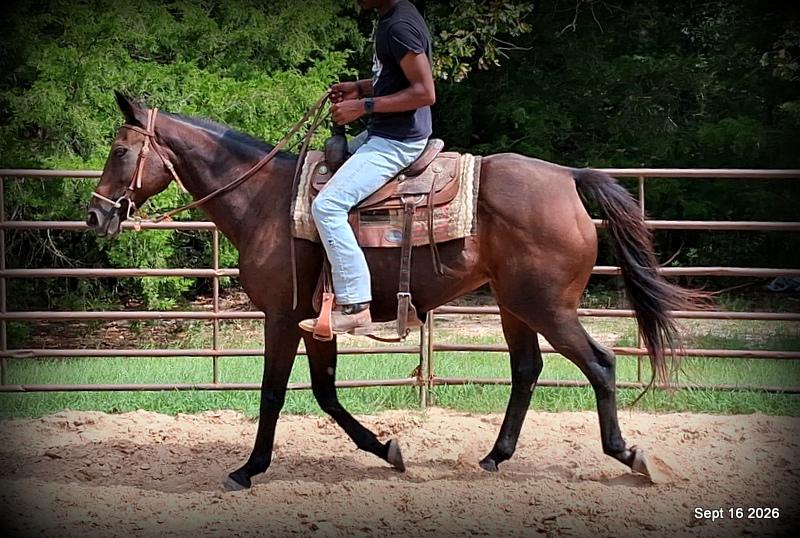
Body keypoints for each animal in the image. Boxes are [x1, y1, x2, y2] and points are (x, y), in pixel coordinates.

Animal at [87, 91, 704, 490]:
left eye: (119, 151)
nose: (96, 216)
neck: (264, 201)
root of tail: (568, 178)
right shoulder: (318, 323)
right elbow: (326, 393)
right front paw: (387, 449)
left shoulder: (282, 318)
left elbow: (273, 393)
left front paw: (247, 470)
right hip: (514, 306)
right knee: (527, 370)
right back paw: (493, 458)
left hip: (547, 307)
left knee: (599, 363)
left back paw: (628, 455)